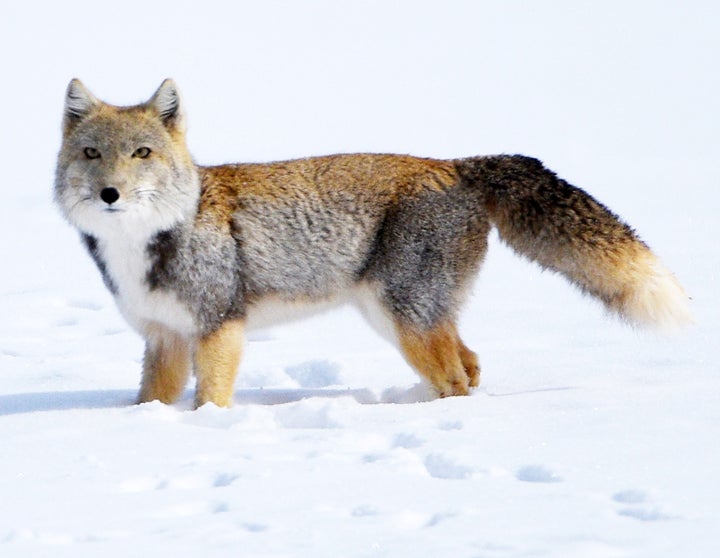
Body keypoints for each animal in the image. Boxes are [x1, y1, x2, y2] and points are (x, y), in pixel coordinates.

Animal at [53, 79, 688, 410]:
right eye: (92, 153)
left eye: (142, 153)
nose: (110, 193)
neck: (146, 243)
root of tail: (455, 164)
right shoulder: (162, 338)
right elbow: (151, 402)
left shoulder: (219, 327)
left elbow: (211, 400)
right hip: (405, 318)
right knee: (471, 365)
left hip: (403, 318)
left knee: (457, 380)